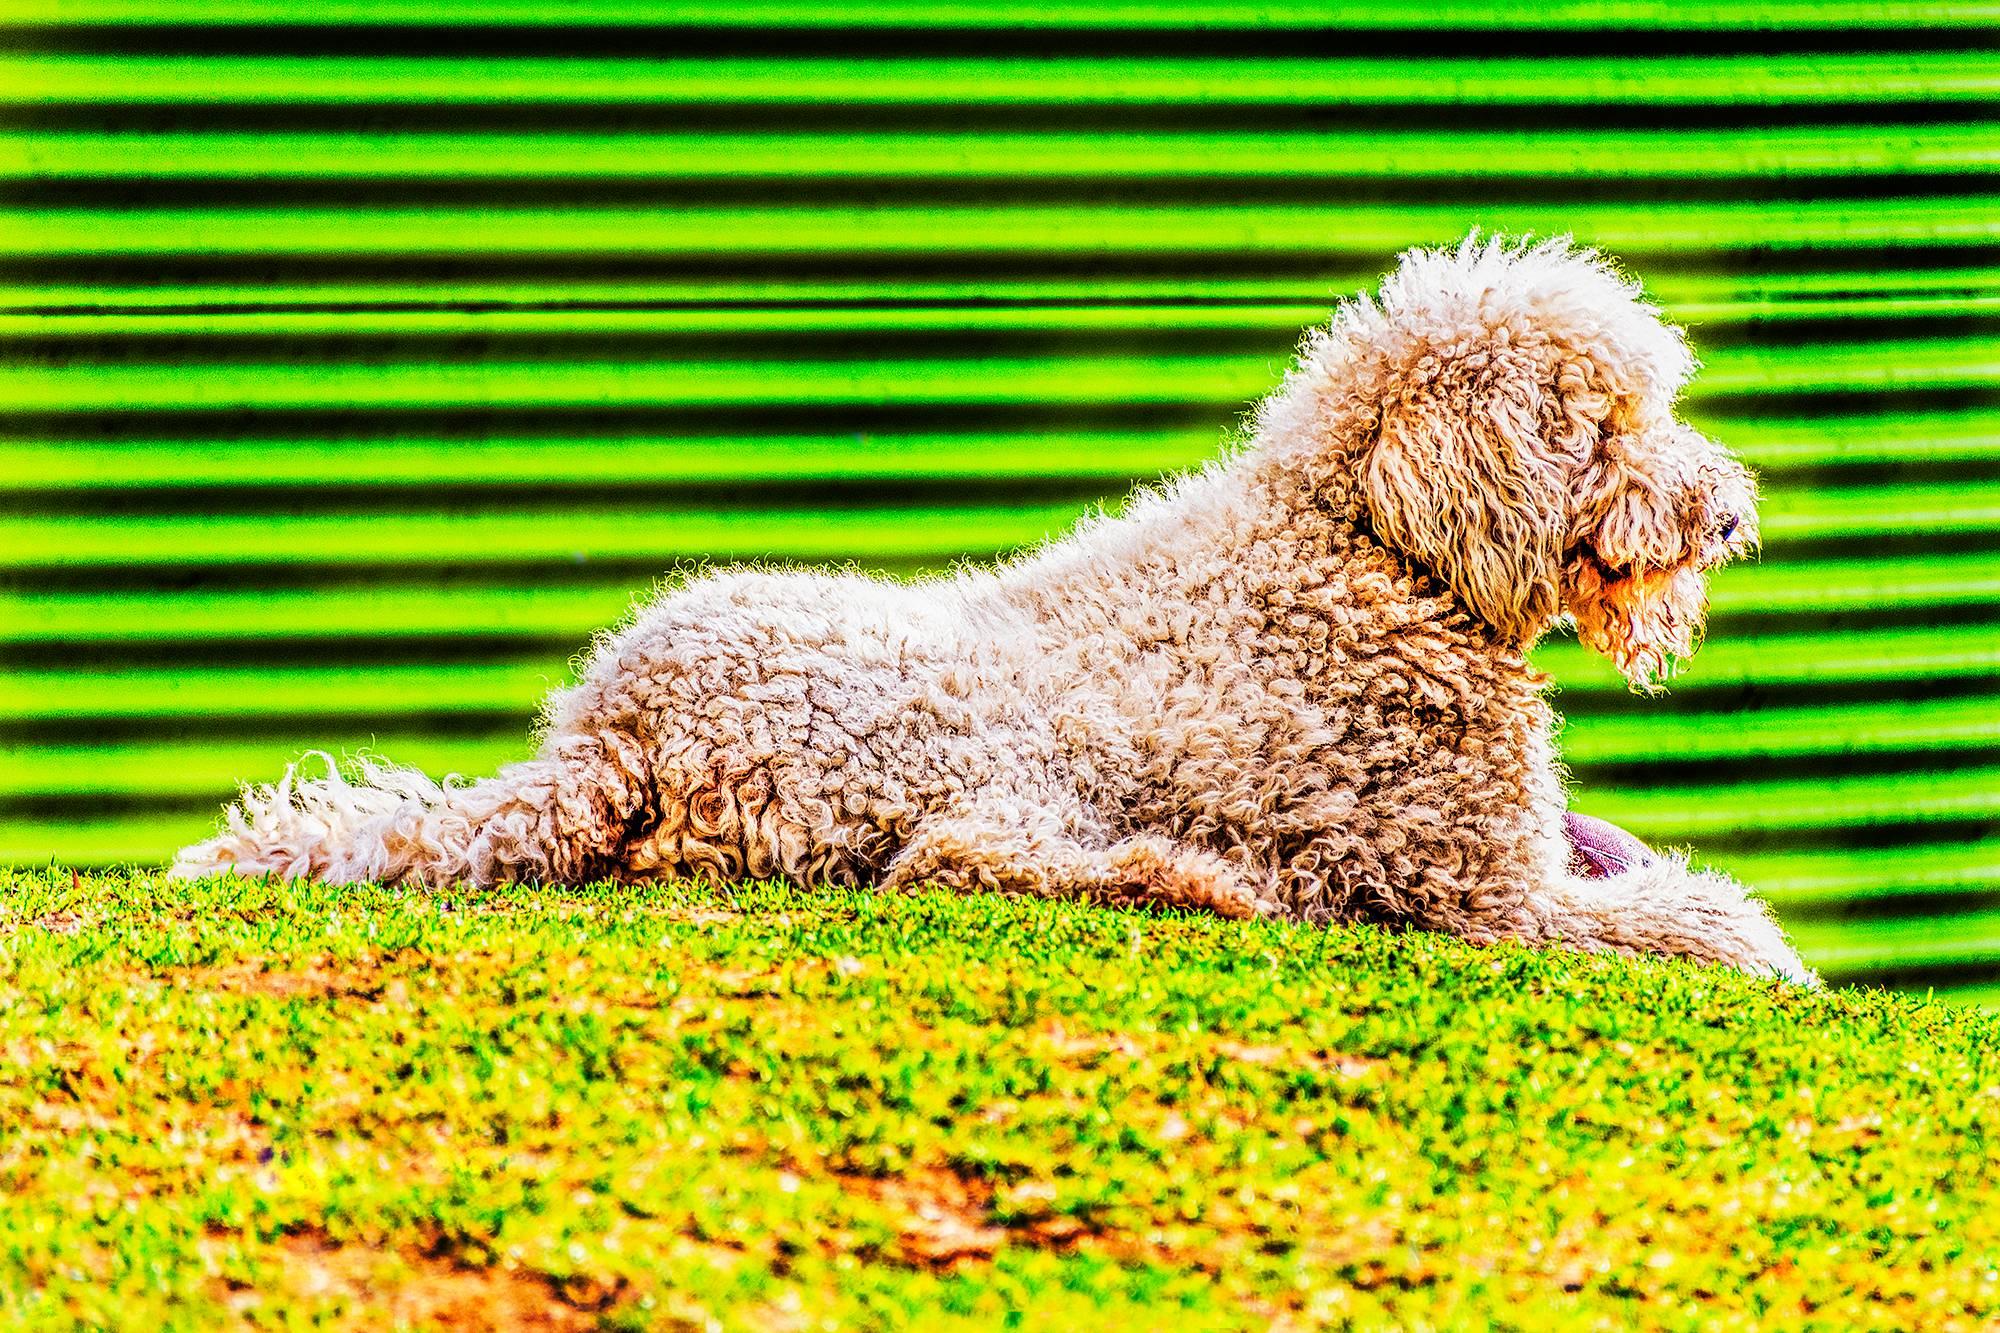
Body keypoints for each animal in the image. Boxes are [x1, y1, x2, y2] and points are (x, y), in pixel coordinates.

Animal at [176, 236, 1816, 984]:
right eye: (1603, 424)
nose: (1731, 511)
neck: (1369, 547)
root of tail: (608, 734)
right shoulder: (1479, 893)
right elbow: (1693, 916)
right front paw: (1744, 939)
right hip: (950, 738)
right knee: (956, 861)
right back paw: (1197, 882)